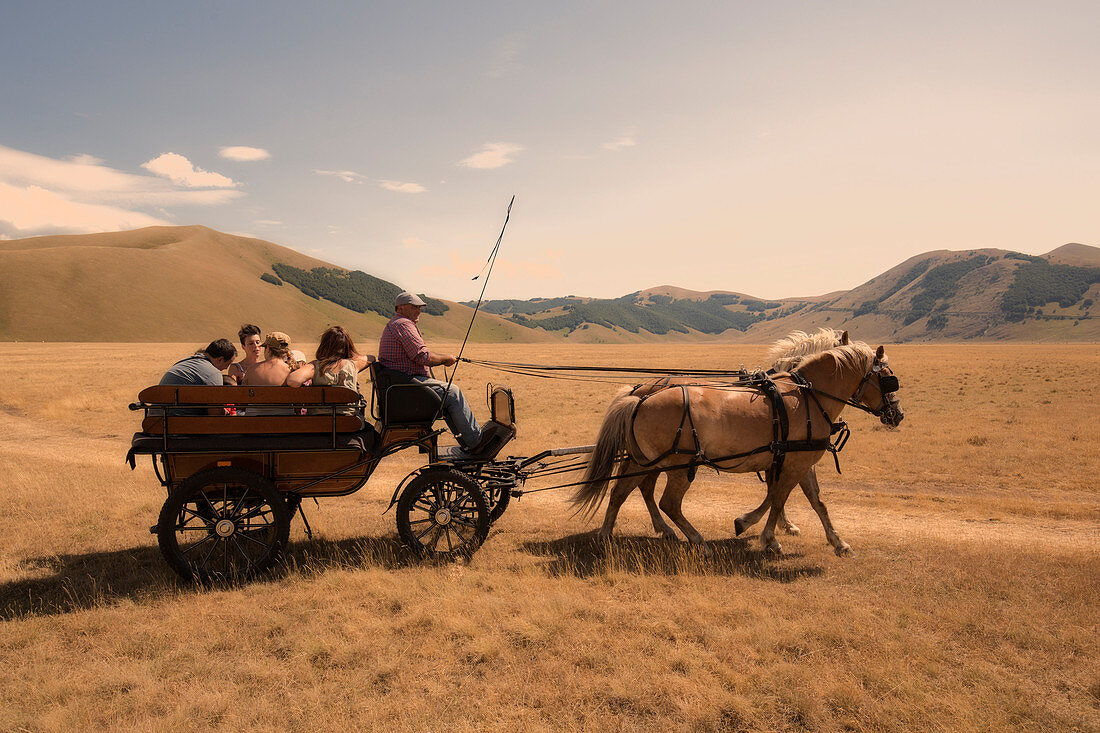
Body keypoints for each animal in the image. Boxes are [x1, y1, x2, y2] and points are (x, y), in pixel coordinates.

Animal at [576, 343, 902, 554]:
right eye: (889, 379)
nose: (897, 414)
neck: (808, 396)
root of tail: (640, 397)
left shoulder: (796, 460)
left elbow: (814, 501)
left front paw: (837, 541)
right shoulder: (793, 462)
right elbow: (778, 498)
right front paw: (767, 536)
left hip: (645, 460)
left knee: (623, 491)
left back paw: (610, 534)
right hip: (678, 466)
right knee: (667, 502)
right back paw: (697, 541)